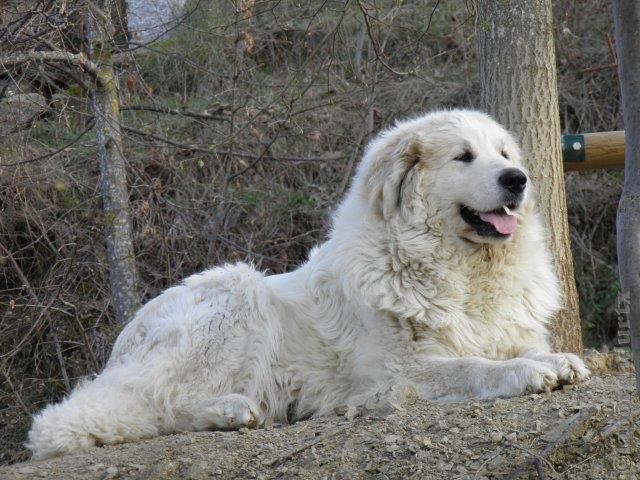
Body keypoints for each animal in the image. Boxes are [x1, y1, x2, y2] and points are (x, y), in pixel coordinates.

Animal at [28, 109, 592, 458]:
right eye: (463, 156)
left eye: (504, 154)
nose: (517, 179)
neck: (466, 270)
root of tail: (122, 343)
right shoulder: (399, 373)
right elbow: (473, 366)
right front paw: (525, 372)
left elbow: (522, 348)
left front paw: (556, 359)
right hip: (237, 294)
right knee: (156, 407)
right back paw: (232, 410)